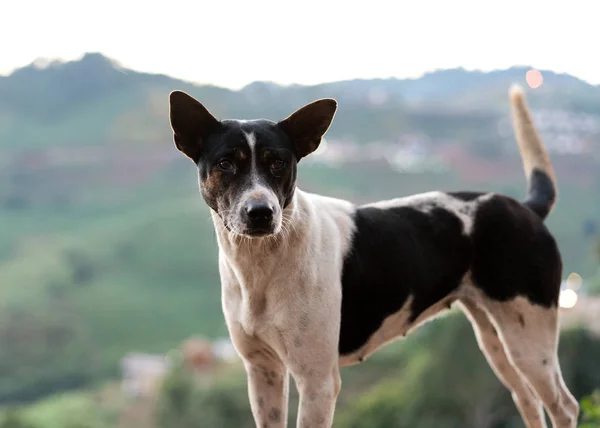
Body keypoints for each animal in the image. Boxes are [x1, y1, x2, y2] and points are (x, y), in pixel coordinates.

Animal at [166, 84, 580, 428]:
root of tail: (526, 209)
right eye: (225, 163)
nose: (261, 213)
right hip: (495, 339)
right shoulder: (262, 372)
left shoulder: (317, 381)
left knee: (564, 406)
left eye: (278, 163)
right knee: (526, 400)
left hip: (529, 337)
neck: (264, 264)